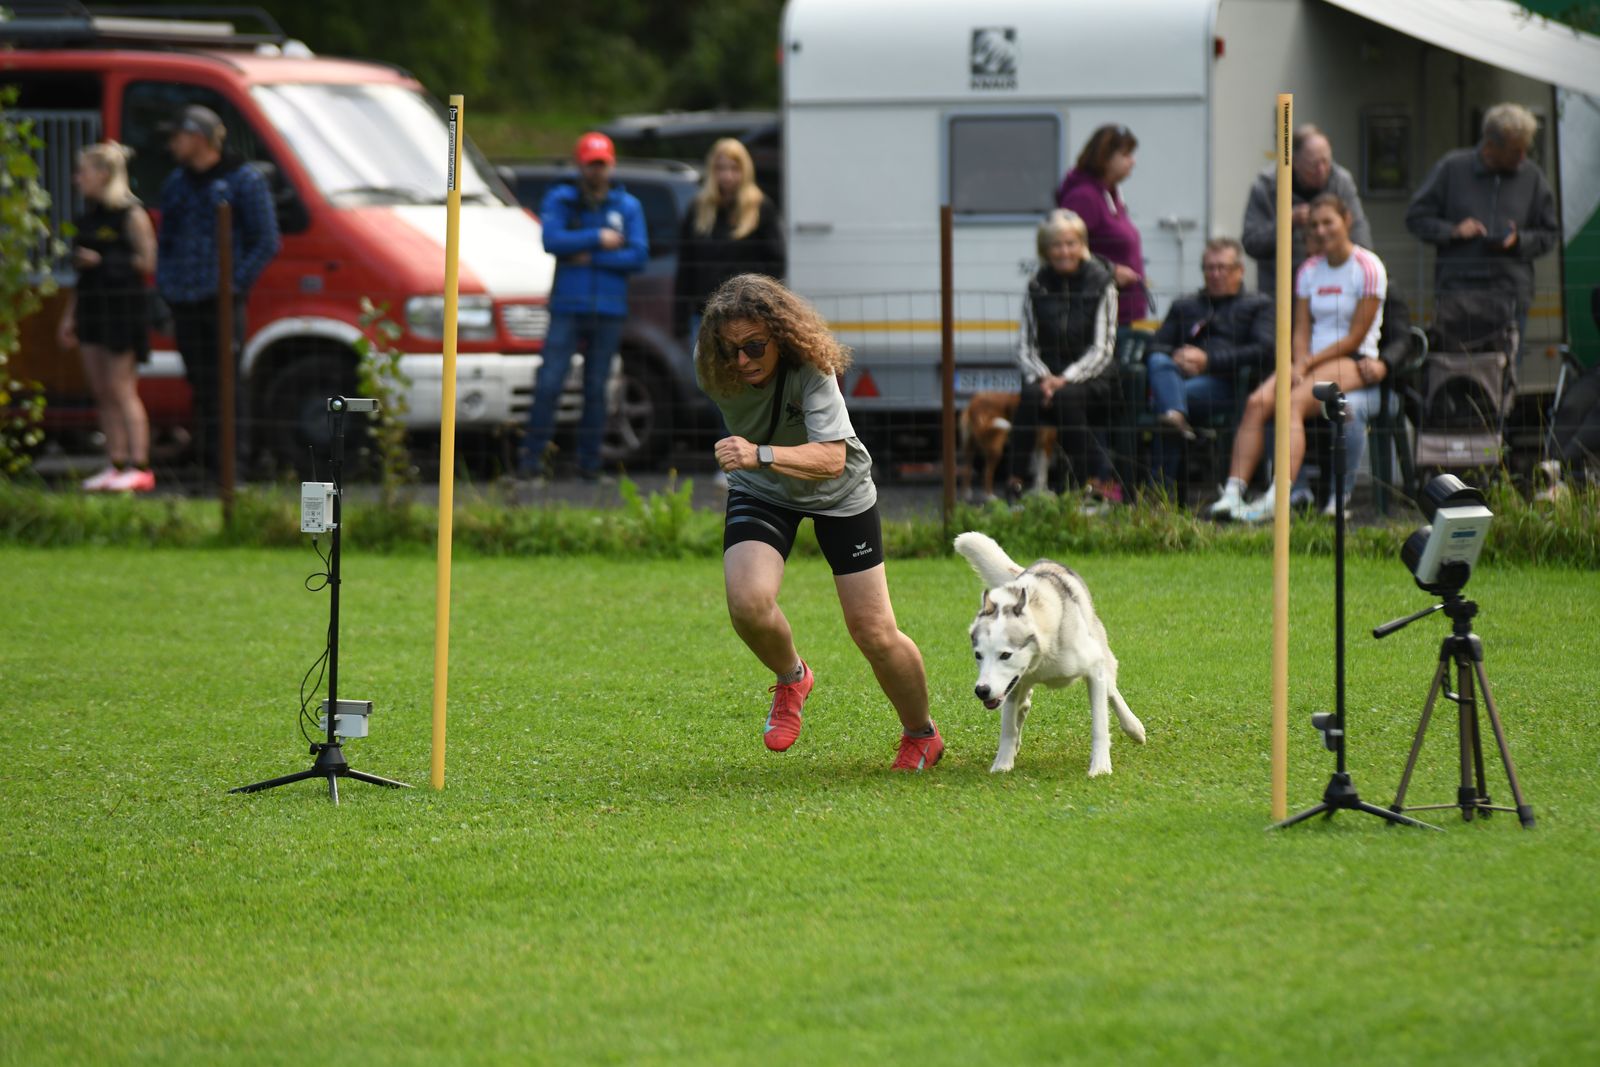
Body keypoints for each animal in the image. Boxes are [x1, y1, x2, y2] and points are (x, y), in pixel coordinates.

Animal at [953, 531, 1146, 775]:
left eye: (1005, 655)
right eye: (978, 655)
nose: (981, 690)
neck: (1042, 657)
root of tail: (1045, 562)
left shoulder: (1094, 668)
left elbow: (1100, 723)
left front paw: (1100, 767)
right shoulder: (1011, 686)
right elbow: (1008, 727)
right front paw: (1002, 763)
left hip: (1101, 655)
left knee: (1112, 691)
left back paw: (1134, 727)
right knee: (1022, 705)